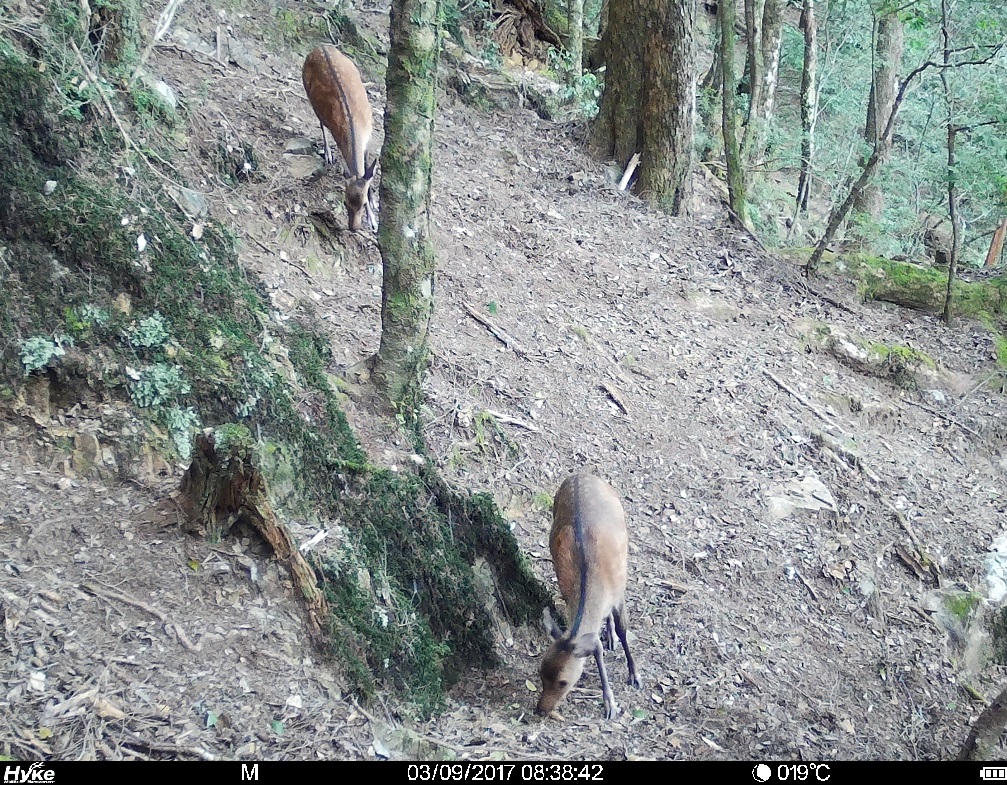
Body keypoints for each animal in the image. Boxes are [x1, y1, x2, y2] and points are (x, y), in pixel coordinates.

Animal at [302, 46, 378, 231]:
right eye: (345, 202)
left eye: (363, 204)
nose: (353, 228)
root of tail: (319, 47)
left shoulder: (369, 138)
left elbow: (368, 170)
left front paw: (373, 218)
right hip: (309, 95)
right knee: (321, 123)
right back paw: (328, 154)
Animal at [535, 473, 636, 716]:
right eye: (541, 673)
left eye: (563, 681)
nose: (540, 710)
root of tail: (580, 473)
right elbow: (596, 647)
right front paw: (609, 701)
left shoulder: (619, 594)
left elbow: (623, 629)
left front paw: (633, 675)